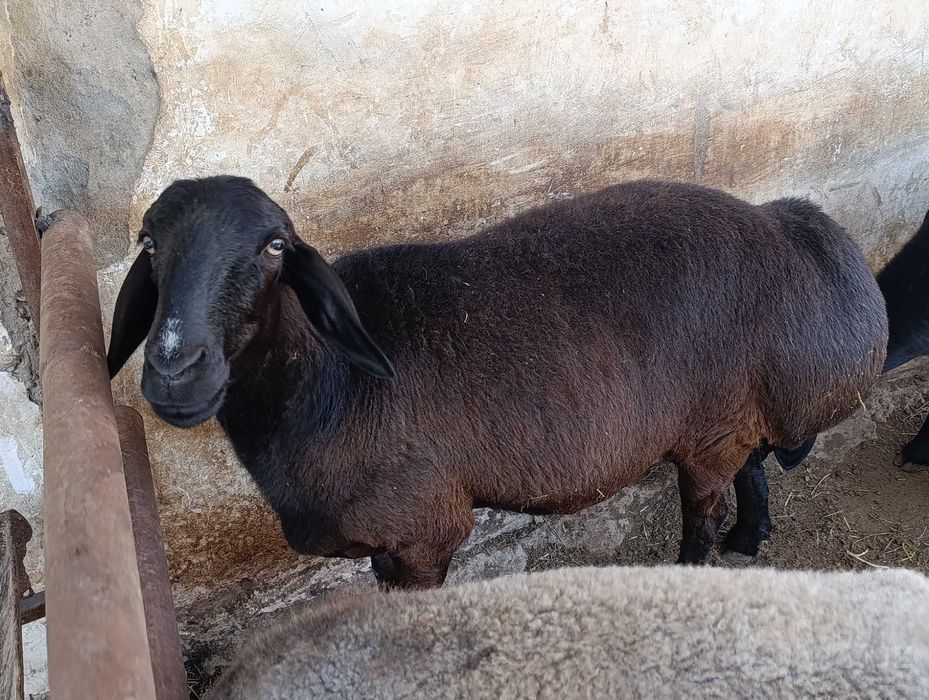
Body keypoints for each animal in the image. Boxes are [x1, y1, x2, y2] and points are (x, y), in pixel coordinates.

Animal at [107, 176, 887, 587]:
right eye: (149, 242)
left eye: (274, 247)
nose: (175, 369)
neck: (326, 384)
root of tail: (791, 232)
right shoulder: (387, 545)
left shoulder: (424, 532)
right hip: (728, 418)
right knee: (750, 466)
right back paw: (751, 539)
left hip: (708, 431)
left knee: (704, 512)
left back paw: (697, 566)